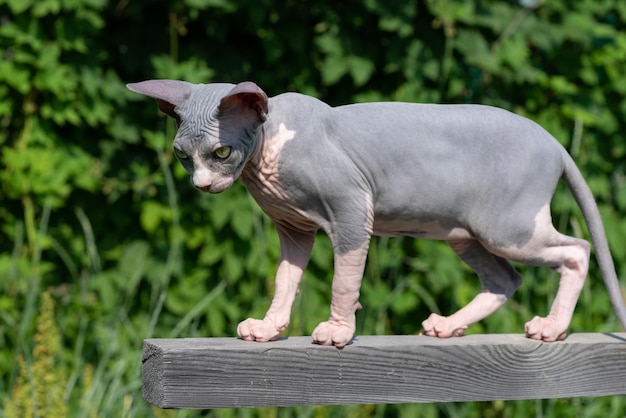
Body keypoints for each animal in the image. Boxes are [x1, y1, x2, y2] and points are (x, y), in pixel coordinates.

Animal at [125, 80, 624, 348]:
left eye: (222, 153)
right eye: (182, 157)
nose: (202, 185)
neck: (267, 155)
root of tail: (552, 139)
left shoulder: (352, 209)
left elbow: (344, 280)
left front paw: (337, 332)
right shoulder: (293, 228)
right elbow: (285, 280)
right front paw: (268, 327)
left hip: (507, 228)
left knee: (577, 250)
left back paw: (552, 327)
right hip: (463, 233)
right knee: (506, 279)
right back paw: (448, 326)